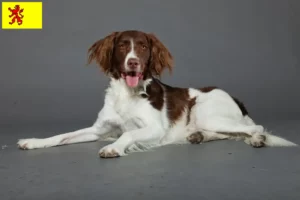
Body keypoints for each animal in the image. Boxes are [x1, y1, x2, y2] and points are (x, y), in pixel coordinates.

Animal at [17, 29, 298, 158]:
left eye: (143, 46)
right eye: (122, 47)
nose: (133, 63)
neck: (128, 94)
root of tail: (237, 99)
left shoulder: (155, 128)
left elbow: (128, 133)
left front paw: (113, 147)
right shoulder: (99, 129)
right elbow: (62, 136)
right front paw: (33, 141)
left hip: (207, 112)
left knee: (254, 127)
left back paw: (257, 140)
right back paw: (198, 136)